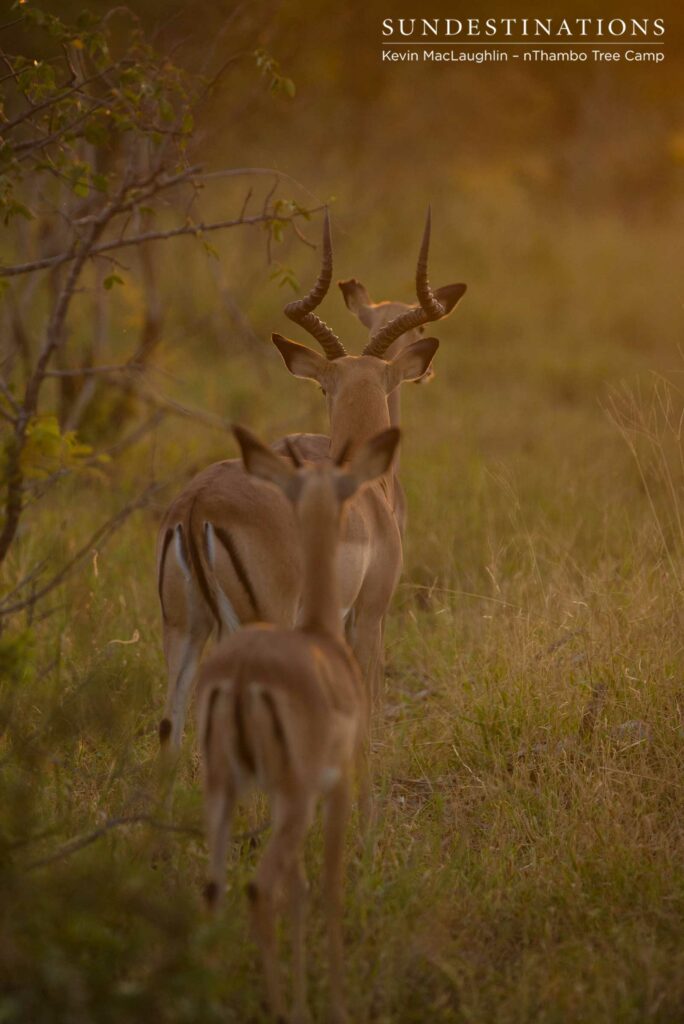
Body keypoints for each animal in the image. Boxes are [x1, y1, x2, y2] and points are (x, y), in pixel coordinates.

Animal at [157, 211, 466, 755]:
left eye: (324, 386)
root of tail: (197, 506)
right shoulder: (367, 614)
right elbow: (369, 704)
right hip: (262, 625)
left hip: (183, 628)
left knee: (170, 732)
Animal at [197, 423, 401, 1024]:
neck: (319, 635)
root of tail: (243, 677)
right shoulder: (333, 788)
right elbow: (328, 887)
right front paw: (331, 1002)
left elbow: (303, 889)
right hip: (293, 798)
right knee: (260, 890)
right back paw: (280, 1006)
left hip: (224, 788)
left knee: (215, 887)